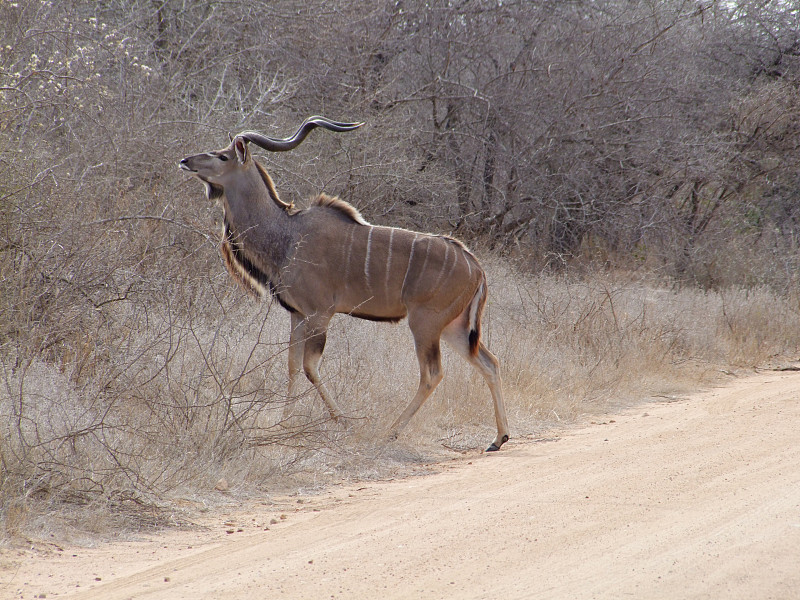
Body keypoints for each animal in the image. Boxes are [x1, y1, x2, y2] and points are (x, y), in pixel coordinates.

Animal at [179, 117, 510, 450]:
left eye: (223, 156)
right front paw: (284, 423)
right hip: (453, 327)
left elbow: (310, 367)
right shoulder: (298, 315)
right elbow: (292, 366)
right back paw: (499, 437)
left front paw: (345, 421)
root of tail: (476, 267)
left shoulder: (319, 314)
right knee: (490, 362)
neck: (287, 236)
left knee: (432, 373)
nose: (185, 161)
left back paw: (390, 432)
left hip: (425, 323)